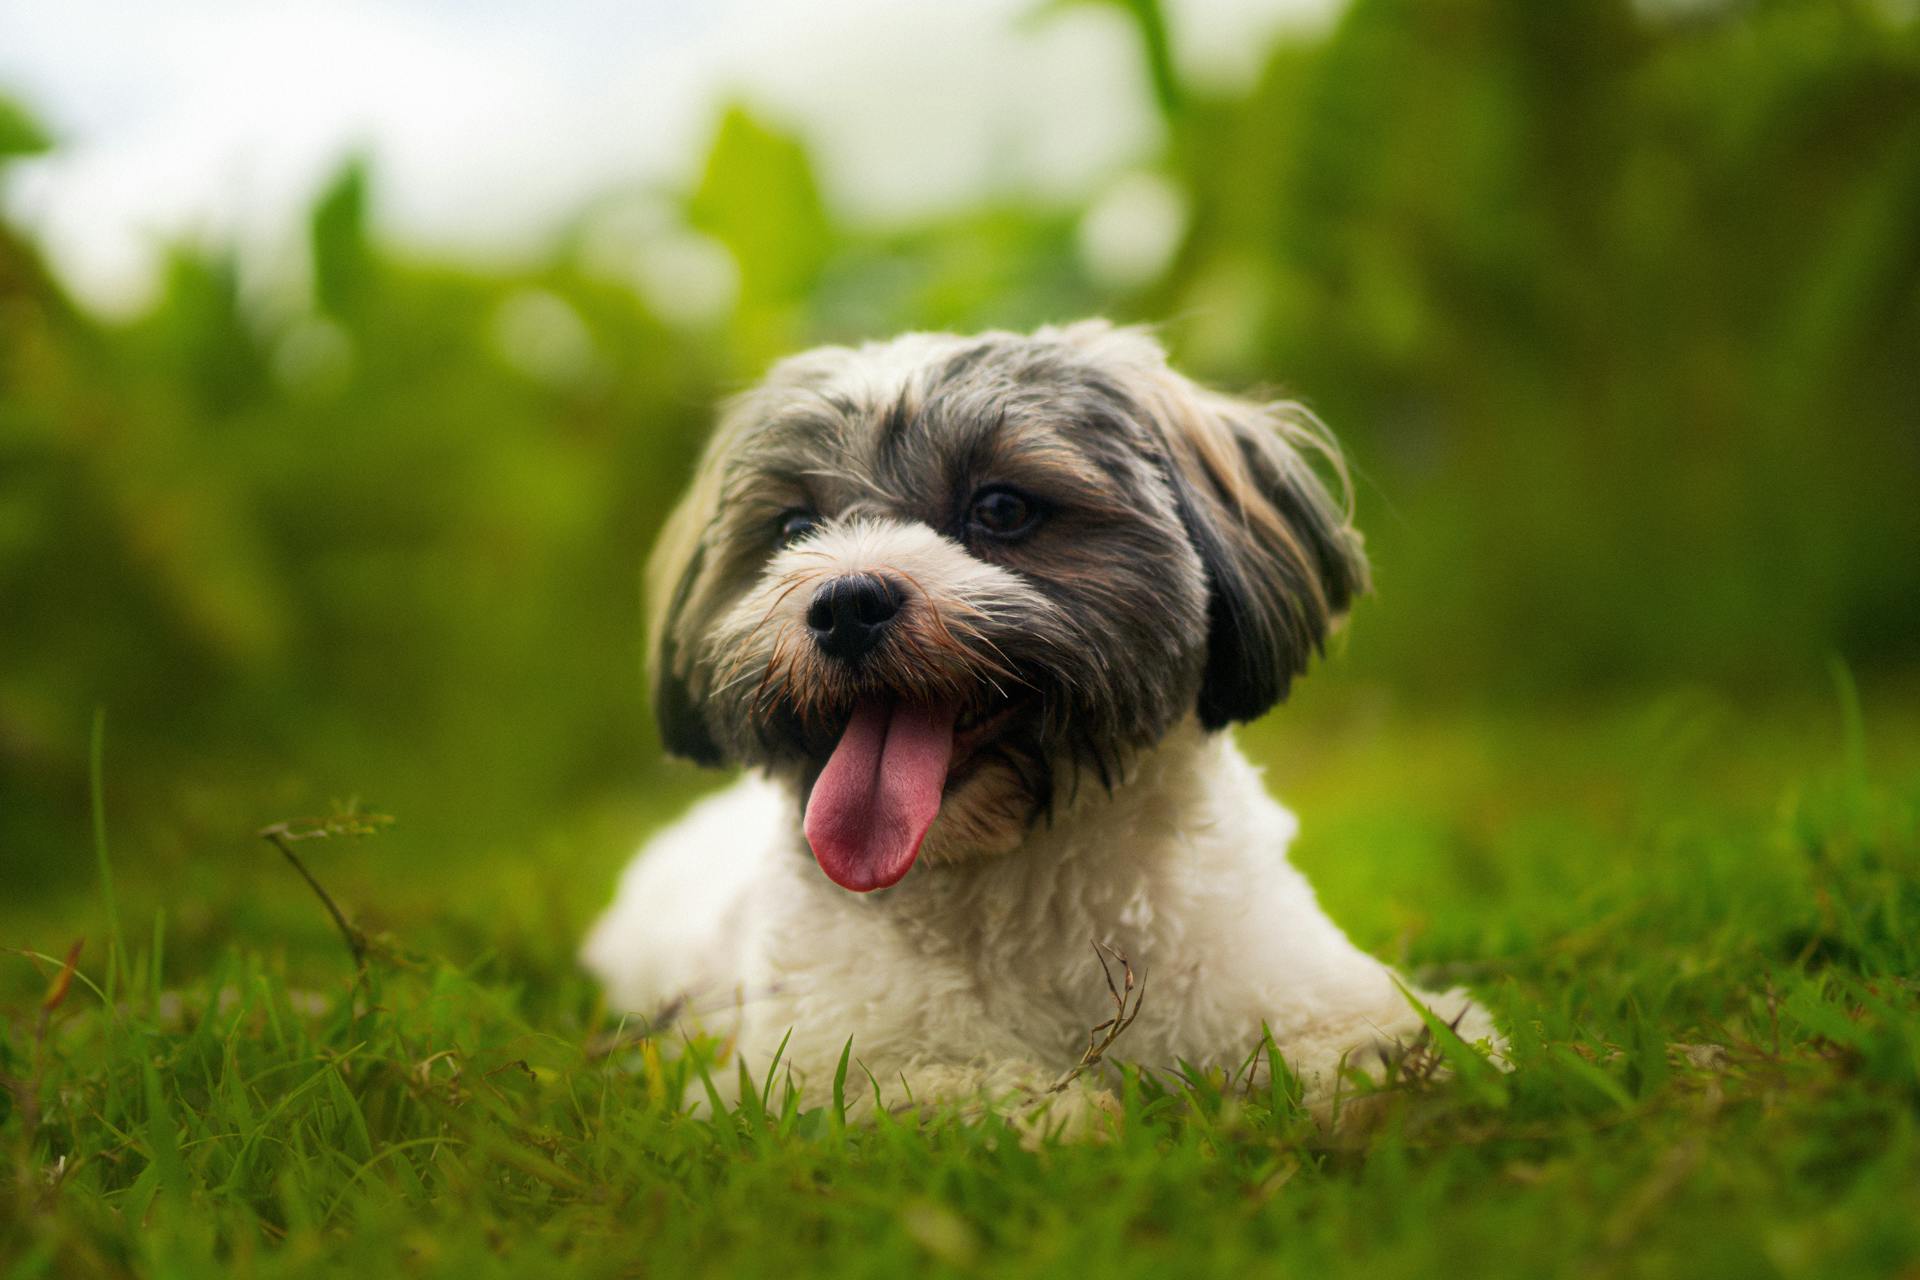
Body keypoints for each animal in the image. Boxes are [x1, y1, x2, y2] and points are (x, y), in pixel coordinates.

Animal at [583, 322, 1497, 1128]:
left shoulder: (1285, 973)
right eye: (795, 529)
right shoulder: (801, 1068)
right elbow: (923, 1086)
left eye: (1000, 508)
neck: (1014, 879)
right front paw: (1051, 1110)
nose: (845, 602)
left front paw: (1402, 1064)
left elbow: (1374, 1034)